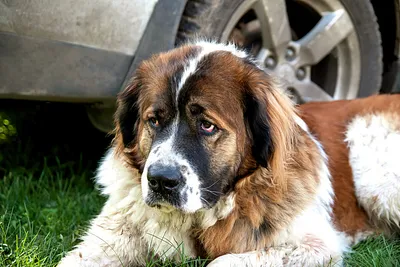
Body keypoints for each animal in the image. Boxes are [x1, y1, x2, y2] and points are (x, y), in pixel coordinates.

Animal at [57, 40, 400, 266]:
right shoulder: (114, 232)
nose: (160, 181)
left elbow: (221, 262)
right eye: (154, 120)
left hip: (373, 173)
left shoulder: (316, 245)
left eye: (207, 125)